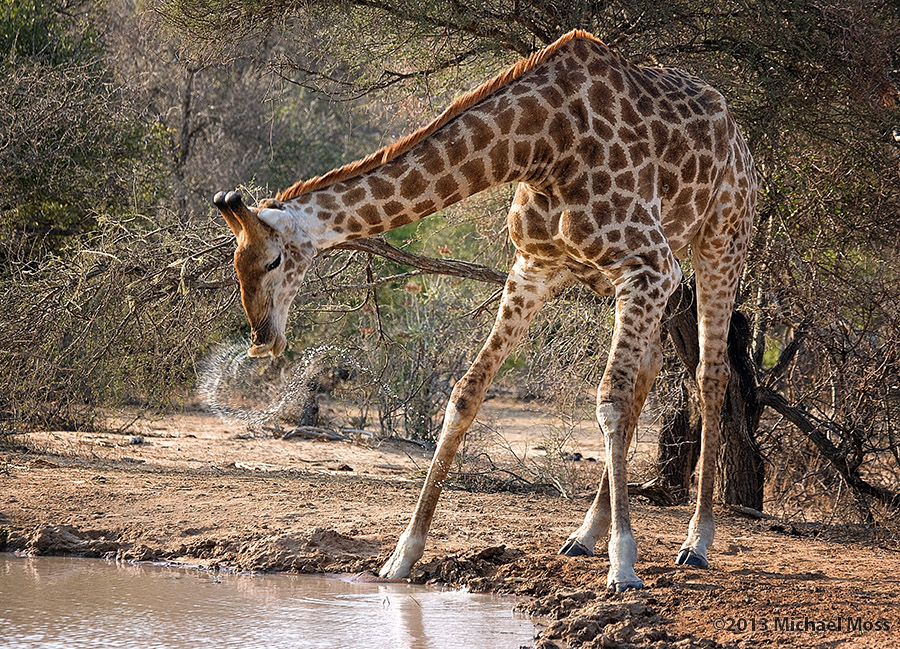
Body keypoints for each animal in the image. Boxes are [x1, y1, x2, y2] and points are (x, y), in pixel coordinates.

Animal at [213, 29, 756, 591]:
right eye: (236, 263)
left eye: (273, 260)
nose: (263, 338)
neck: (541, 144)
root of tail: (738, 135)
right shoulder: (534, 268)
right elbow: (465, 394)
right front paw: (402, 556)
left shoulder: (650, 264)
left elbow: (610, 399)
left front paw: (624, 564)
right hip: (629, 276)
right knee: (649, 371)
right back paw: (584, 535)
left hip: (719, 242)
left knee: (710, 374)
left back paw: (696, 541)